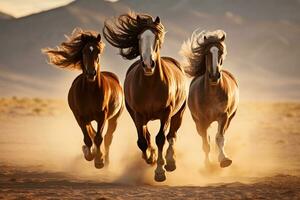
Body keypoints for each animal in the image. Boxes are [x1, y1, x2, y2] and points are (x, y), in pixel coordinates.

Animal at [42, 28, 123, 169]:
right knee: (92, 134)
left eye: (98, 51)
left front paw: (99, 161)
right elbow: (88, 138)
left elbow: (98, 138)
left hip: (114, 118)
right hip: (85, 119)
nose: (91, 73)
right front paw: (89, 154)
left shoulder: (102, 116)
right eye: (84, 51)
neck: (90, 91)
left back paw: (106, 161)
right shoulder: (80, 116)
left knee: (107, 138)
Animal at [104, 12, 186, 181]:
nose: (148, 64)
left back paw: (171, 162)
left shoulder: (166, 113)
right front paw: (150, 157)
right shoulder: (138, 114)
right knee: (148, 136)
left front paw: (160, 171)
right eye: (139, 38)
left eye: (157, 37)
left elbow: (161, 138)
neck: (150, 86)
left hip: (179, 113)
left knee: (172, 135)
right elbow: (142, 141)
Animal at [180, 29, 239, 167]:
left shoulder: (224, 116)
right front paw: (208, 165)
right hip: (198, 122)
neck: (212, 93)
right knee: (205, 138)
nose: (214, 76)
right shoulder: (201, 121)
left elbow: (220, 138)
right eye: (207, 52)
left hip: (229, 119)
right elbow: (206, 143)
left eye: (221, 52)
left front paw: (224, 159)